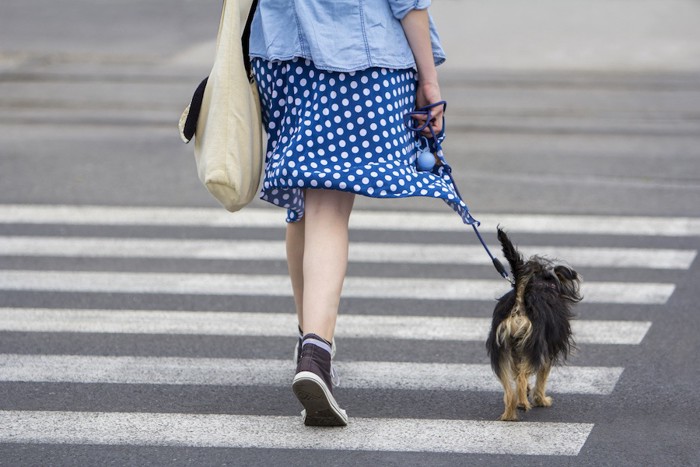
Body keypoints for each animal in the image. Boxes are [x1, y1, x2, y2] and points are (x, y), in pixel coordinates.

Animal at [486, 229, 580, 422]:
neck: (543, 284)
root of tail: (520, 301)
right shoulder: (546, 352)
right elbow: (542, 377)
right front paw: (541, 399)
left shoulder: (518, 351)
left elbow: (517, 371)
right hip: (536, 346)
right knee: (522, 379)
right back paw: (523, 403)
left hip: (502, 349)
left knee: (510, 388)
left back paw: (509, 413)